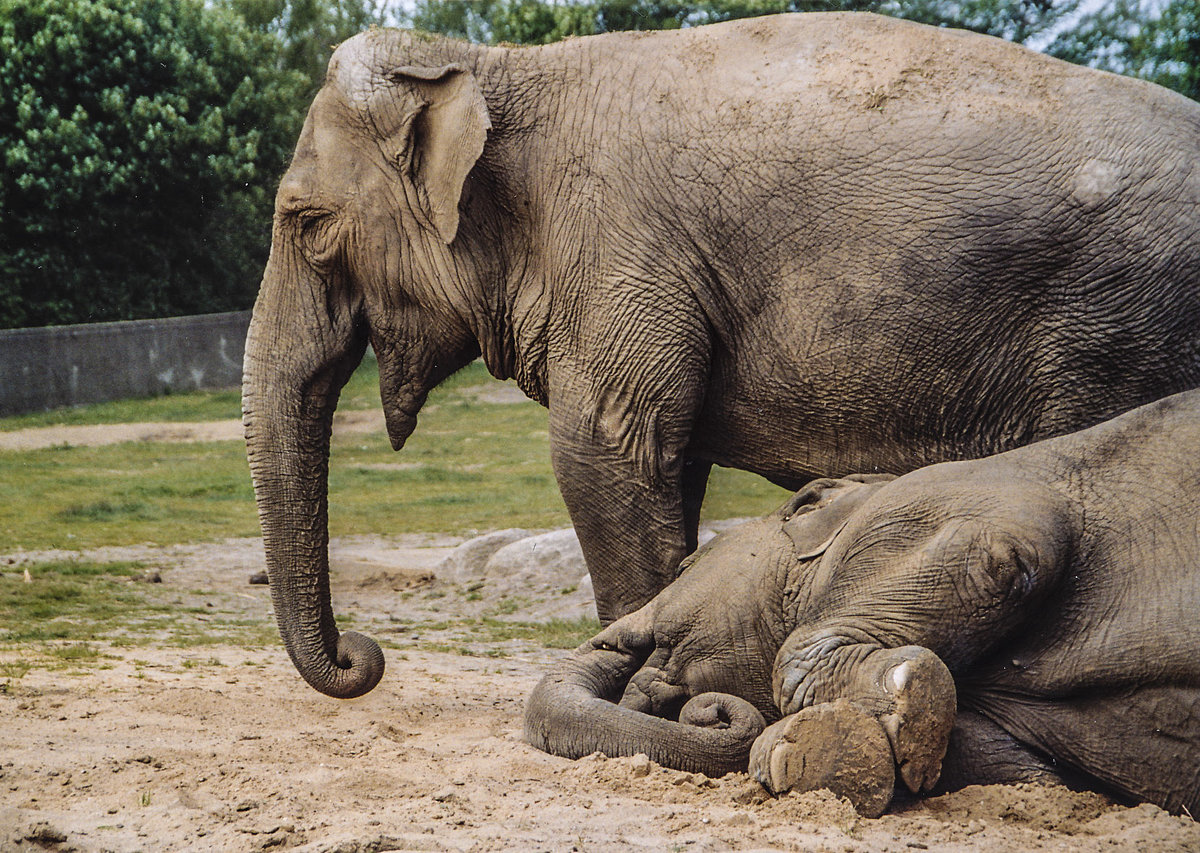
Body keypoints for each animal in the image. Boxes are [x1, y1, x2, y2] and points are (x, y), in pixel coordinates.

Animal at [241, 10, 1200, 695]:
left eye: (306, 222)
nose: (362, 657)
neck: (502, 63)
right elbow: (668, 459)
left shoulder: (621, 252)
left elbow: (600, 455)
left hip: (1116, 321)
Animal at [523, 391, 1200, 815]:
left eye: (688, 568)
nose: (706, 712)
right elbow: (1034, 769)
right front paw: (834, 755)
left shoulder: (945, 501)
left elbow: (1008, 545)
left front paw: (805, 746)